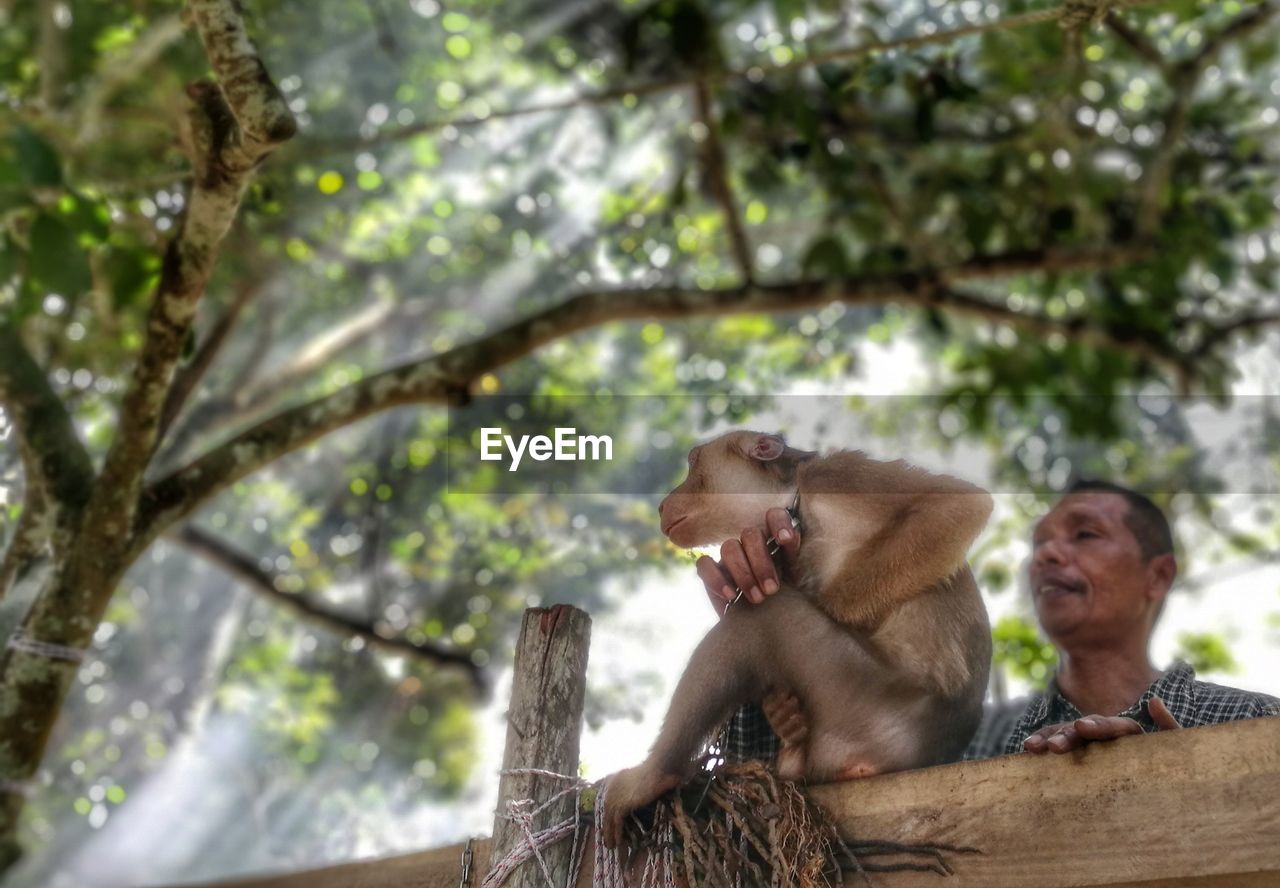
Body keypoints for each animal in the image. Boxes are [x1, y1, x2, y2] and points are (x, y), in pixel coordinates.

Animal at [596, 432, 988, 849]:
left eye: (693, 463)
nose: (661, 504)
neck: (790, 500)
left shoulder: (839, 474)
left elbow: (959, 503)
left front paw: (828, 605)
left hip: (865, 699)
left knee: (759, 617)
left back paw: (655, 775)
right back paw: (790, 743)